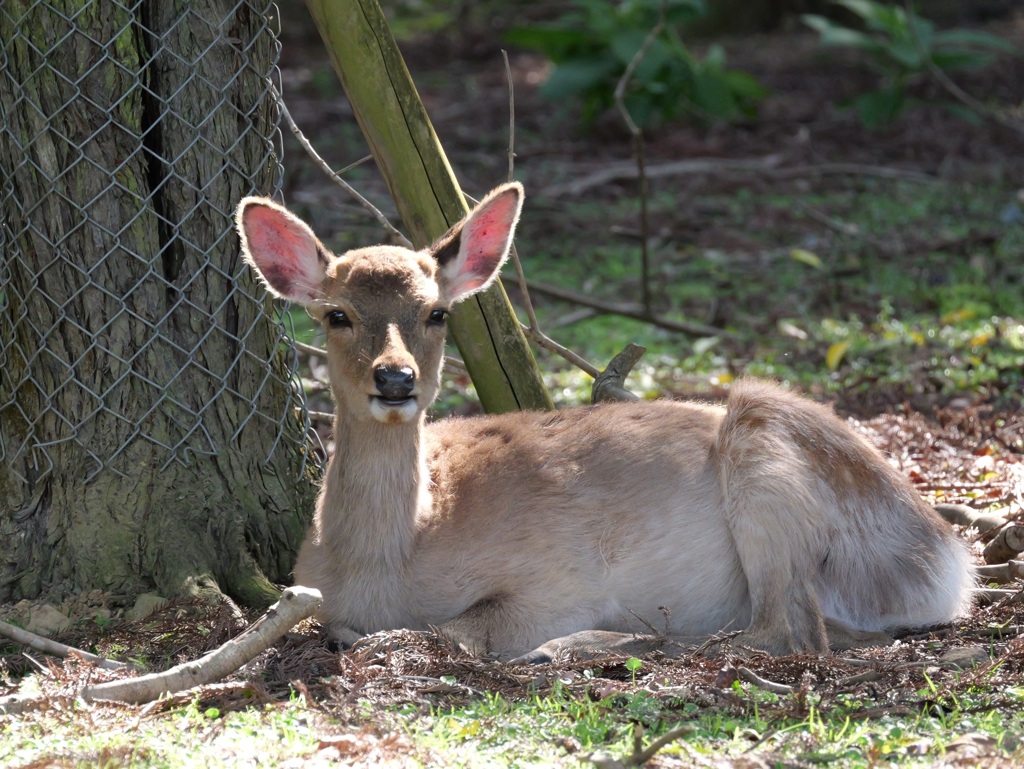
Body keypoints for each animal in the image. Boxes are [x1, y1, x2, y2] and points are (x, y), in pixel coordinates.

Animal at [234, 182, 974, 663]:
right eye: (337, 313)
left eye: (436, 312)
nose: (395, 379)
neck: (388, 559)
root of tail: (951, 563)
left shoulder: (553, 578)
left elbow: (457, 628)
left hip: (766, 459)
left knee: (786, 631)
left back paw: (594, 642)